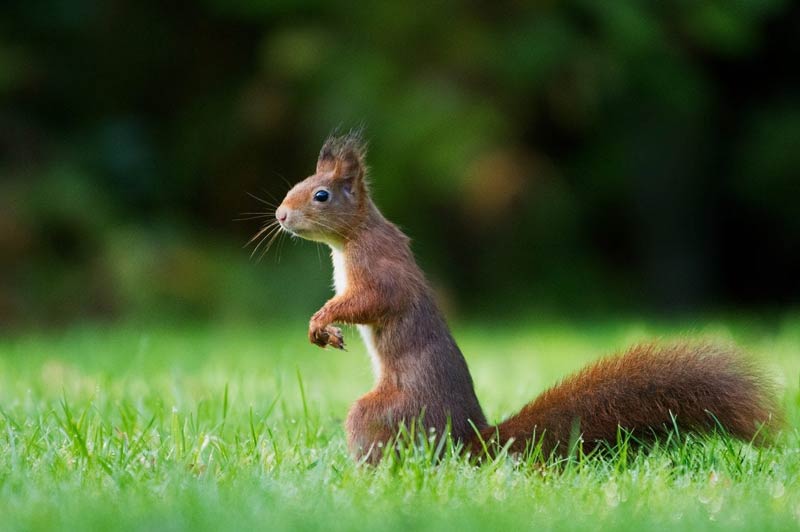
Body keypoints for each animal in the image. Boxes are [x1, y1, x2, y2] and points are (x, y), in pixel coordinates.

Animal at [272, 132, 780, 462]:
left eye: (320, 195)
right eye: (294, 187)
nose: (280, 215)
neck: (352, 237)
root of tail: (470, 441)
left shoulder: (380, 270)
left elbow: (374, 301)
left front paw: (322, 320)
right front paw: (325, 329)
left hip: (385, 413)